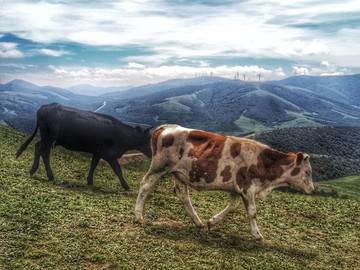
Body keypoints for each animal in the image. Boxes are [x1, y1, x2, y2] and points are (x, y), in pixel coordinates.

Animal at [16, 102, 152, 191]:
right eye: (147, 141)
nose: (152, 154)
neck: (122, 136)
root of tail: (44, 106)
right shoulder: (109, 155)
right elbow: (118, 170)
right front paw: (126, 186)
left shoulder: (98, 152)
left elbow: (93, 165)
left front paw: (90, 181)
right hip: (48, 138)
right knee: (40, 149)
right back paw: (34, 170)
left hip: (48, 139)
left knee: (42, 151)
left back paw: (49, 175)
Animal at [134, 124, 314, 240]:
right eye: (307, 172)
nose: (312, 189)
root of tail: (165, 127)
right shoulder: (248, 187)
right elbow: (252, 212)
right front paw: (257, 235)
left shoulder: (236, 188)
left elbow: (232, 206)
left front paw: (212, 221)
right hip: (159, 167)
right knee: (145, 185)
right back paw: (138, 217)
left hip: (178, 173)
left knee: (183, 196)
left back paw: (198, 222)